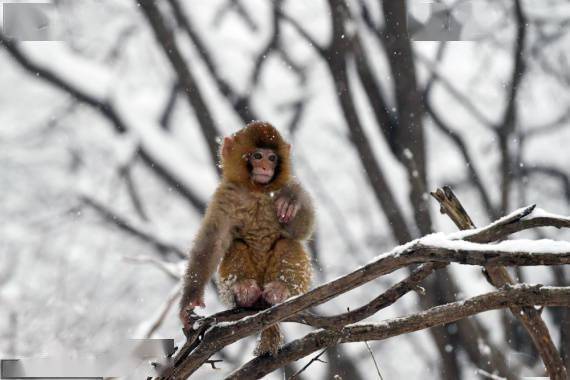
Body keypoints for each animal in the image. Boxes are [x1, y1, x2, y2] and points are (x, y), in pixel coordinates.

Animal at [179, 121, 316, 356]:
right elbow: (212, 243)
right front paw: (190, 300)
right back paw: (245, 292)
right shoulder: (225, 196)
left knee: (288, 243)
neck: (256, 190)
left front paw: (291, 197)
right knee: (236, 245)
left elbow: (300, 231)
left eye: (272, 158)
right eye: (258, 156)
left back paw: (281, 290)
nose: (265, 167)